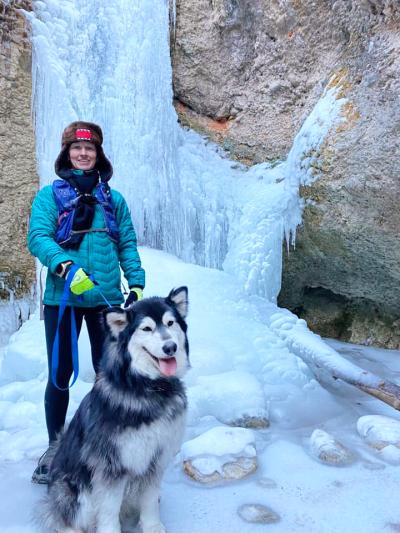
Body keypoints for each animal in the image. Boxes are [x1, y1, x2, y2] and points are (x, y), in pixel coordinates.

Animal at [41, 286, 191, 532]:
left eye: (170, 323)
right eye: (147, 328)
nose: (170, 347)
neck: (146, 387)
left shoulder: (155, 459)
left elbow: (150, 499)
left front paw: (152, 526)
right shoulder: (111, 466)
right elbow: (109, 508)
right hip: (76, 493)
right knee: (64, 519)